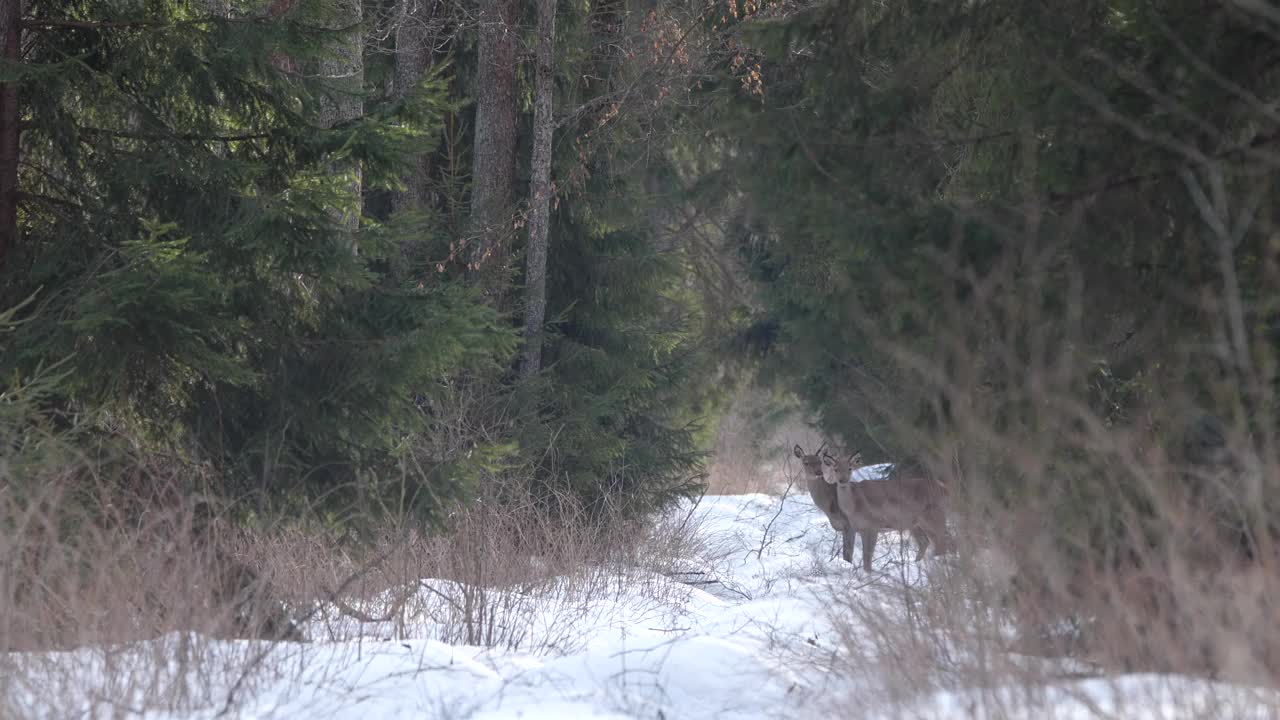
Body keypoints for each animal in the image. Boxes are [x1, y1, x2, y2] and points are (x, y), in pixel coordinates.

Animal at [819, 448, 952, 571]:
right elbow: (865, 554)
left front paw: (868, 573)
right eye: (835, 469)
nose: (842, 480)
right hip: (915, 524)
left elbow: (868, 555)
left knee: (942, 541)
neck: (854, 506)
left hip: (933, 516)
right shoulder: (860, 528)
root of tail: (945, 489)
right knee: (927, 542)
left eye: (850, 468)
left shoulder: (873, 525)